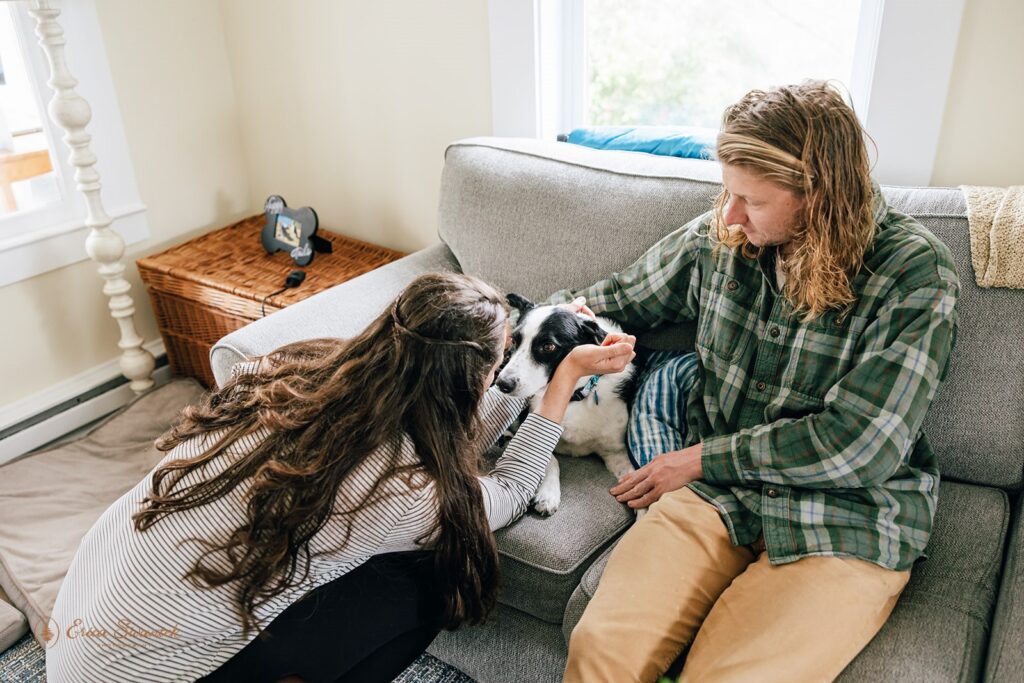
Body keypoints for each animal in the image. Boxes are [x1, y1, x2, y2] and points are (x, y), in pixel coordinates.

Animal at [495, 294, 638, 511]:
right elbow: (550, 459)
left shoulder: (616, 452)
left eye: (548, 346)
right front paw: (548, 494)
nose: (502, 384)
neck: (573, 397)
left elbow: (633, 481)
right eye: (515, 340)